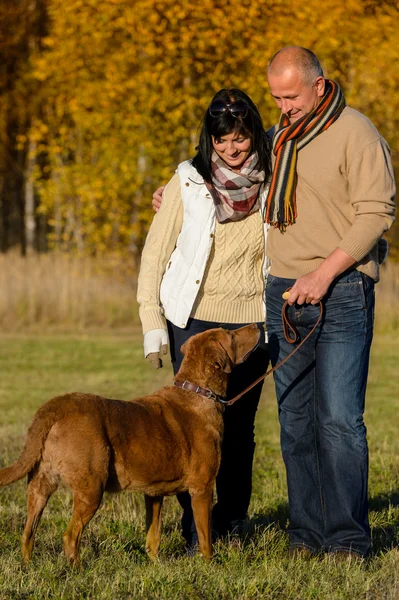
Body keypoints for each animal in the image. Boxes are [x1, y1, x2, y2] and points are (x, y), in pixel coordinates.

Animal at [0, 324, 260, 564]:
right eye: (232, 335)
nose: (258, 325)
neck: (199, 392)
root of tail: (56, 406)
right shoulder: (202, 487)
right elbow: (205, 537)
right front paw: (209, 564)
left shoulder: (154, 493)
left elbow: (153, 535)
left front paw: (155, 565)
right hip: (91, 487)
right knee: (70, 535)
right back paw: (77, 569)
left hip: (40, 484)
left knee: (28, 532)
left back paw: (28, 565)